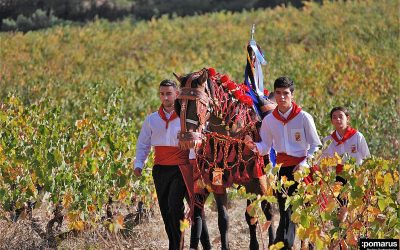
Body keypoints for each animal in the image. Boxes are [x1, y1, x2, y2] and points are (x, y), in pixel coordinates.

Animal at [173, 67, 276, 249]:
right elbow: (224, 220)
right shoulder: (217, 181)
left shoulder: (257, 179)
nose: (187, 139)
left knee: (268, 211)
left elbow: (260, 213)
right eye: (179, 105)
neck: (233, 130)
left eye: (199, 104)